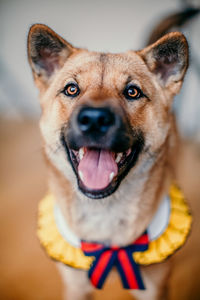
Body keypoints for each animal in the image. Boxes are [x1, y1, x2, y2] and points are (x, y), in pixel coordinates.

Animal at [27, 21, 191, 300]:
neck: (105, 214)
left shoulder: (154, 289)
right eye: (72, 89)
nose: (95, 119)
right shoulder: (76, 287)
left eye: (132, 92)